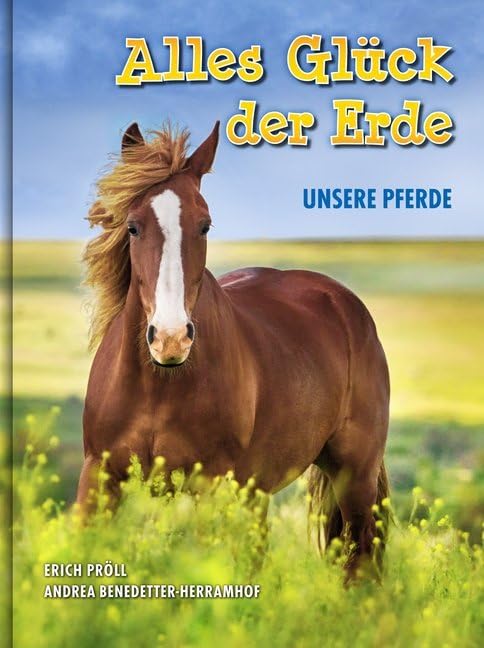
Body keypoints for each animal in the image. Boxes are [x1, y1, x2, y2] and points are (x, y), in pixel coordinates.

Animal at [78, 120, 390, 576]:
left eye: (205, 225)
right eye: (133, 227)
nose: (171, 339)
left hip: (355, 477)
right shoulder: (98, 477)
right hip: (257, 491)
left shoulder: (208, 486)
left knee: (360, 560)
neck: (159, 385)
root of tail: (345, 304)